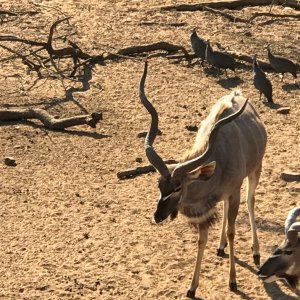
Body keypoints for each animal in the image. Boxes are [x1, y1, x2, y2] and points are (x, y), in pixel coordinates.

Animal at [138, 61, 268, 298]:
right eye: (159, 185)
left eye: (178, 187)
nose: (158, 216)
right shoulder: (206, 209)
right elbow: (202, 240)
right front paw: (192, 287)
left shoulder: (234, 192)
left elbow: (233, 231)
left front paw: (233, 281)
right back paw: (220, 246)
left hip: (255, 171)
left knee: (251, 202)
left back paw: (255, 252)